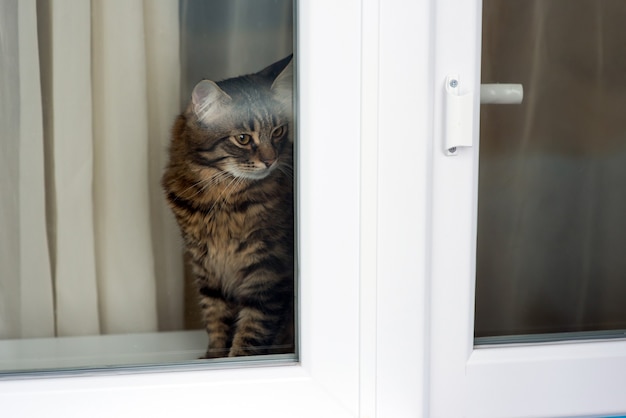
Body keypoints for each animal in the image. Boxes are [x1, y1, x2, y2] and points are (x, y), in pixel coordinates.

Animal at [163, 54, 294, 358]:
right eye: (243, 138)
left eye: (278, 131)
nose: (270, 160)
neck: (220, 198)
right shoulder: (207, 268)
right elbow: (217, 323)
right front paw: (213, 358)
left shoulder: (267, 272)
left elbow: (250, 335)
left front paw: (236, 358)